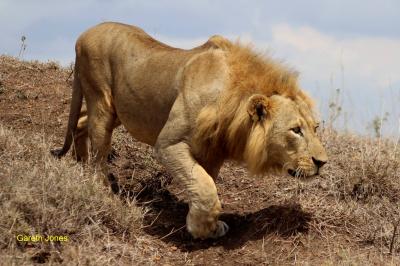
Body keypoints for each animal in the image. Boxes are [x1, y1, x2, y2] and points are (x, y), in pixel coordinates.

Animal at [51, 21, 328, 240]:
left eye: (315, 128)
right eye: (295, 130)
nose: (322, 162)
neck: (231, 98)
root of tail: (84, 33)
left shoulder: (212, 152)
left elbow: (204, 183)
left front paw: (203, 224)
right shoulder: (168, 143)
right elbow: (204, 188)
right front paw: (201, 229)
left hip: (119, 110)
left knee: (80, 122)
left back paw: (79, 164)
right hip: (101, 100)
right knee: (99, 148)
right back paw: (99, 185)